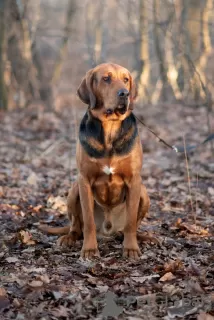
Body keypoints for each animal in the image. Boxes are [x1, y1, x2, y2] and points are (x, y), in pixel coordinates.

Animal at [40, 63, 150, 260]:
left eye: (126, 79)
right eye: (106, 78)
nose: (124, 94)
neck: (110, 129)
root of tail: (108, 230)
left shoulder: (134, 180)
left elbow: (130, 223)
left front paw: (131, 248)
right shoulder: (84, 180)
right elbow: (88, 221)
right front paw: (89, 249)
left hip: (144, 193)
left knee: (130, 227)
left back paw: (145, 237)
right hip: (73, 190)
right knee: (77, 227)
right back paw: (69, 238)